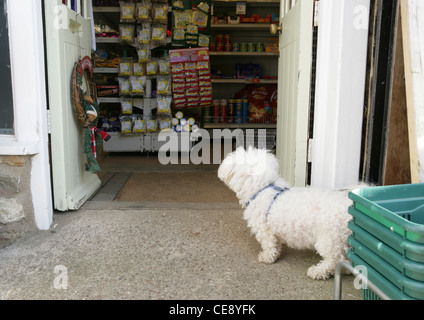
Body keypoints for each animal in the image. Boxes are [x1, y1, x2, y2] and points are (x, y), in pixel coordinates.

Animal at [217, 146, 352, 278]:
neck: (263, 188)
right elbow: (276, 243)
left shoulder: (264, 229)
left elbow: (269, 244)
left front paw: (267, 257)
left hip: (329, 238)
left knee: (334, 259)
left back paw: (317, 271)